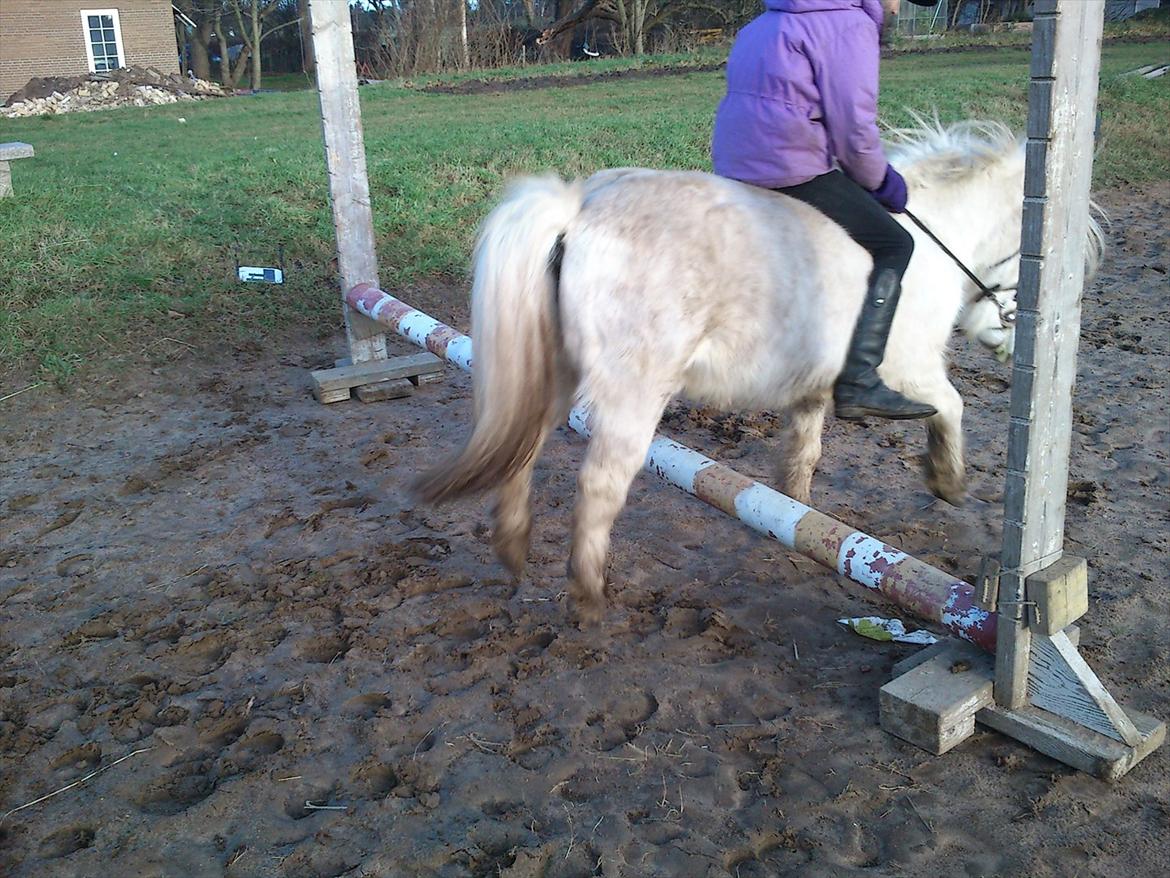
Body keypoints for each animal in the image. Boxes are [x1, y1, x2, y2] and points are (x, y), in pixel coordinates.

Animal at [414, 119, 1105, 623]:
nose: (1014, 344)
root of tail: (578, 207)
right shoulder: (911, 370)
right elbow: (953, 406)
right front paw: (947, 480)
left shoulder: (812, 390)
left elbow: (803, 455)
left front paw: (796, 519)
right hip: (633, 395)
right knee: (600, 486)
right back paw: (587, 596)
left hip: (553, 376)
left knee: (521, 453)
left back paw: (512, 549)